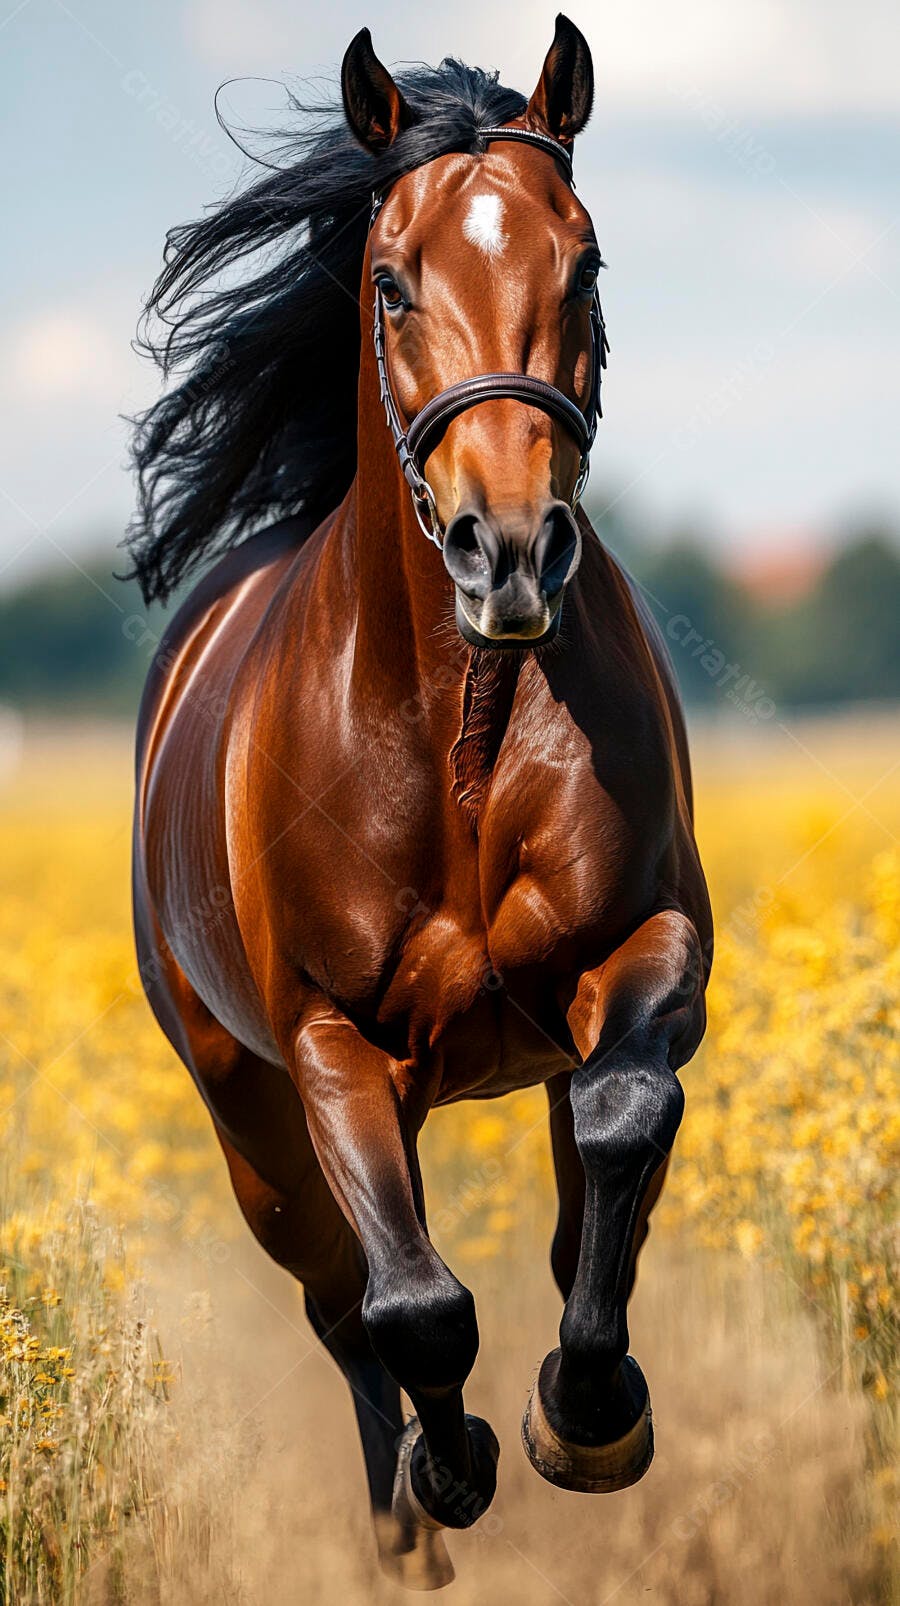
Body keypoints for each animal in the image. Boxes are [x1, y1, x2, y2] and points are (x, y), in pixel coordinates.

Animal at [128, 16, 712, 1589]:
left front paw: (589, 1411)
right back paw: (405, 1528)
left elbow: (622, 1122)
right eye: (390, 280)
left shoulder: (648, 948)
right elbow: (412, 1304)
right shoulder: (330, 1043)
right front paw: (452, 1467)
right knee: (341, 1296)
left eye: (587, 262)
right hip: (246, 1107)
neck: (461, 733)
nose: (506, 550)